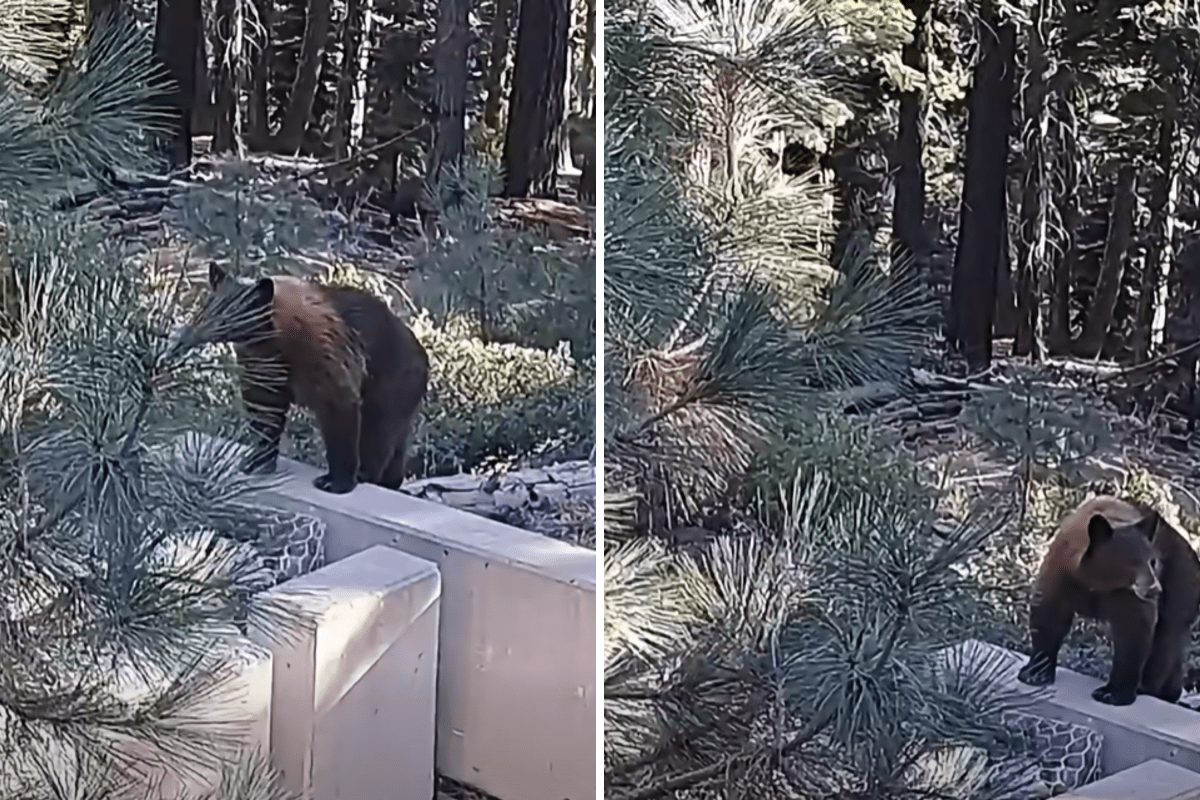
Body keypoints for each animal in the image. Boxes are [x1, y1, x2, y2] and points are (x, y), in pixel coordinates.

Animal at [196, 263, 429, 495]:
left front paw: (337, 482)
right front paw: (257, 463)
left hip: (389, 385)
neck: (270, 343)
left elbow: (340, 421)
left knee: (377, 434)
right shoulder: (262, 375)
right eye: (214, 305)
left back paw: (364, 473)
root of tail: (423, 357)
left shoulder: (328, 361)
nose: (206, 327)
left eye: (233, 310)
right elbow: (264, 419)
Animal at [1016, 495, 1200, 706]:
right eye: (1132, 562)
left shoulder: (1126, 595)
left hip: (1180, 585)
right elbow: (1049, 614)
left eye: (1153, 561)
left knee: (1166, 639)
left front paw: (1111, 694)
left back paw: (1151, 688)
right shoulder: (1061, 572)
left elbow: (1134, 631)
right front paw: (1035, 673)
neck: (1096, 580)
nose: (1155, 589)